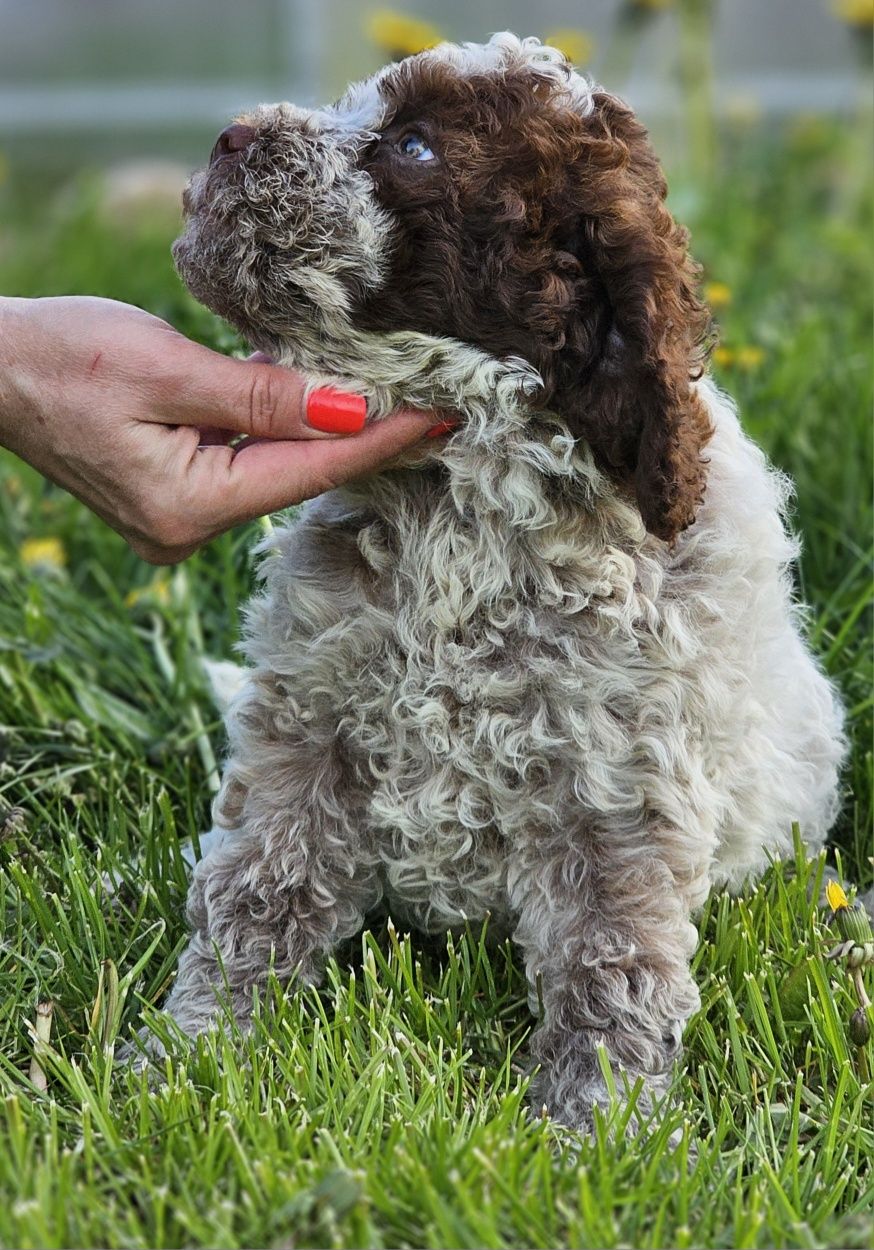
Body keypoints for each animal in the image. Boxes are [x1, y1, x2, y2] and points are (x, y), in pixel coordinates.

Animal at [166, 36, 850, 1135]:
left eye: (414, 144)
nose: (231, 136)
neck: (458, 503)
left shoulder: (618, 787)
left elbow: (610, 965)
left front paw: (593, 1131)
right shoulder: (307, 728)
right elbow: (257, 891)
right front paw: (189, 1060)